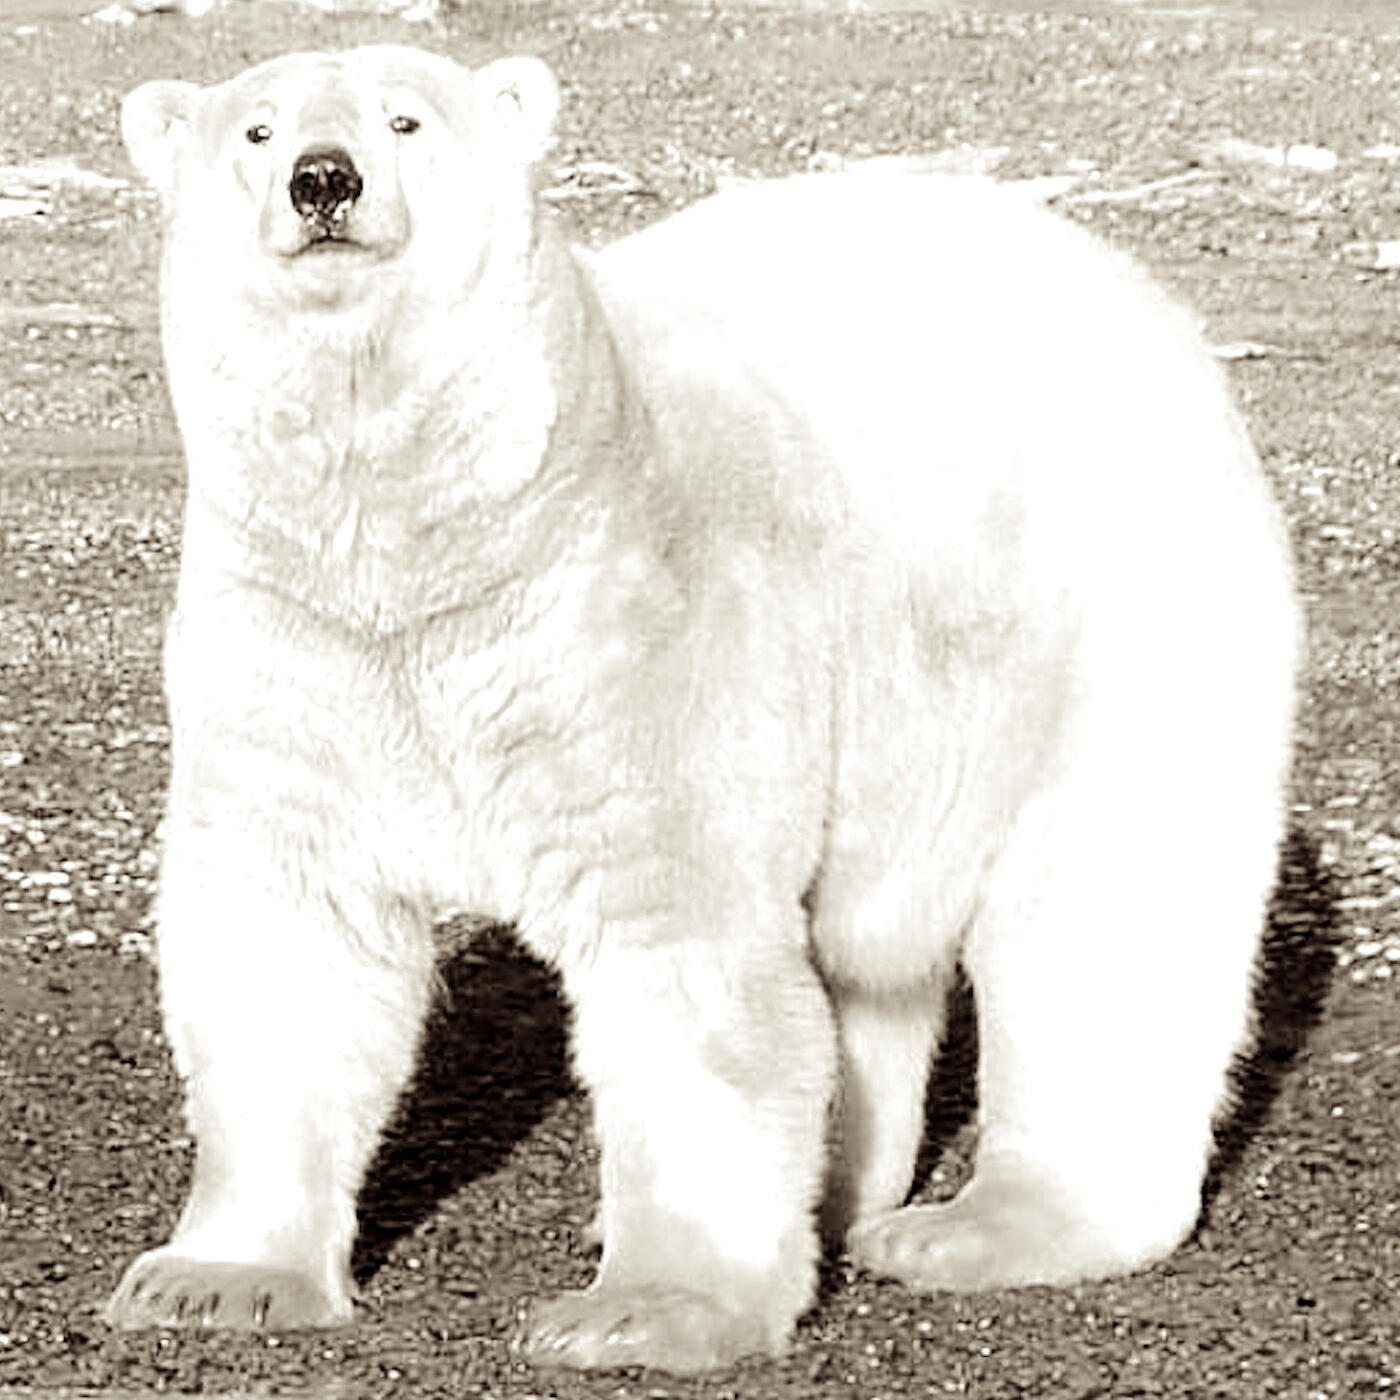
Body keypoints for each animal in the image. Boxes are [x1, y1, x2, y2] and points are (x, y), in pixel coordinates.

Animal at [108, 44, 1299, 1375]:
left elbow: (686, 956)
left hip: (1116, 611)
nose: (325, 179)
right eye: (256, 131)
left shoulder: (630, 628)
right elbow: (287, 931)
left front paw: (640, 1308)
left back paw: (986, 1223)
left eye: (404, 118)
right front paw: (213, 1279)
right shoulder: (297, 644)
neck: (443, 549)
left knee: (1098, 914)